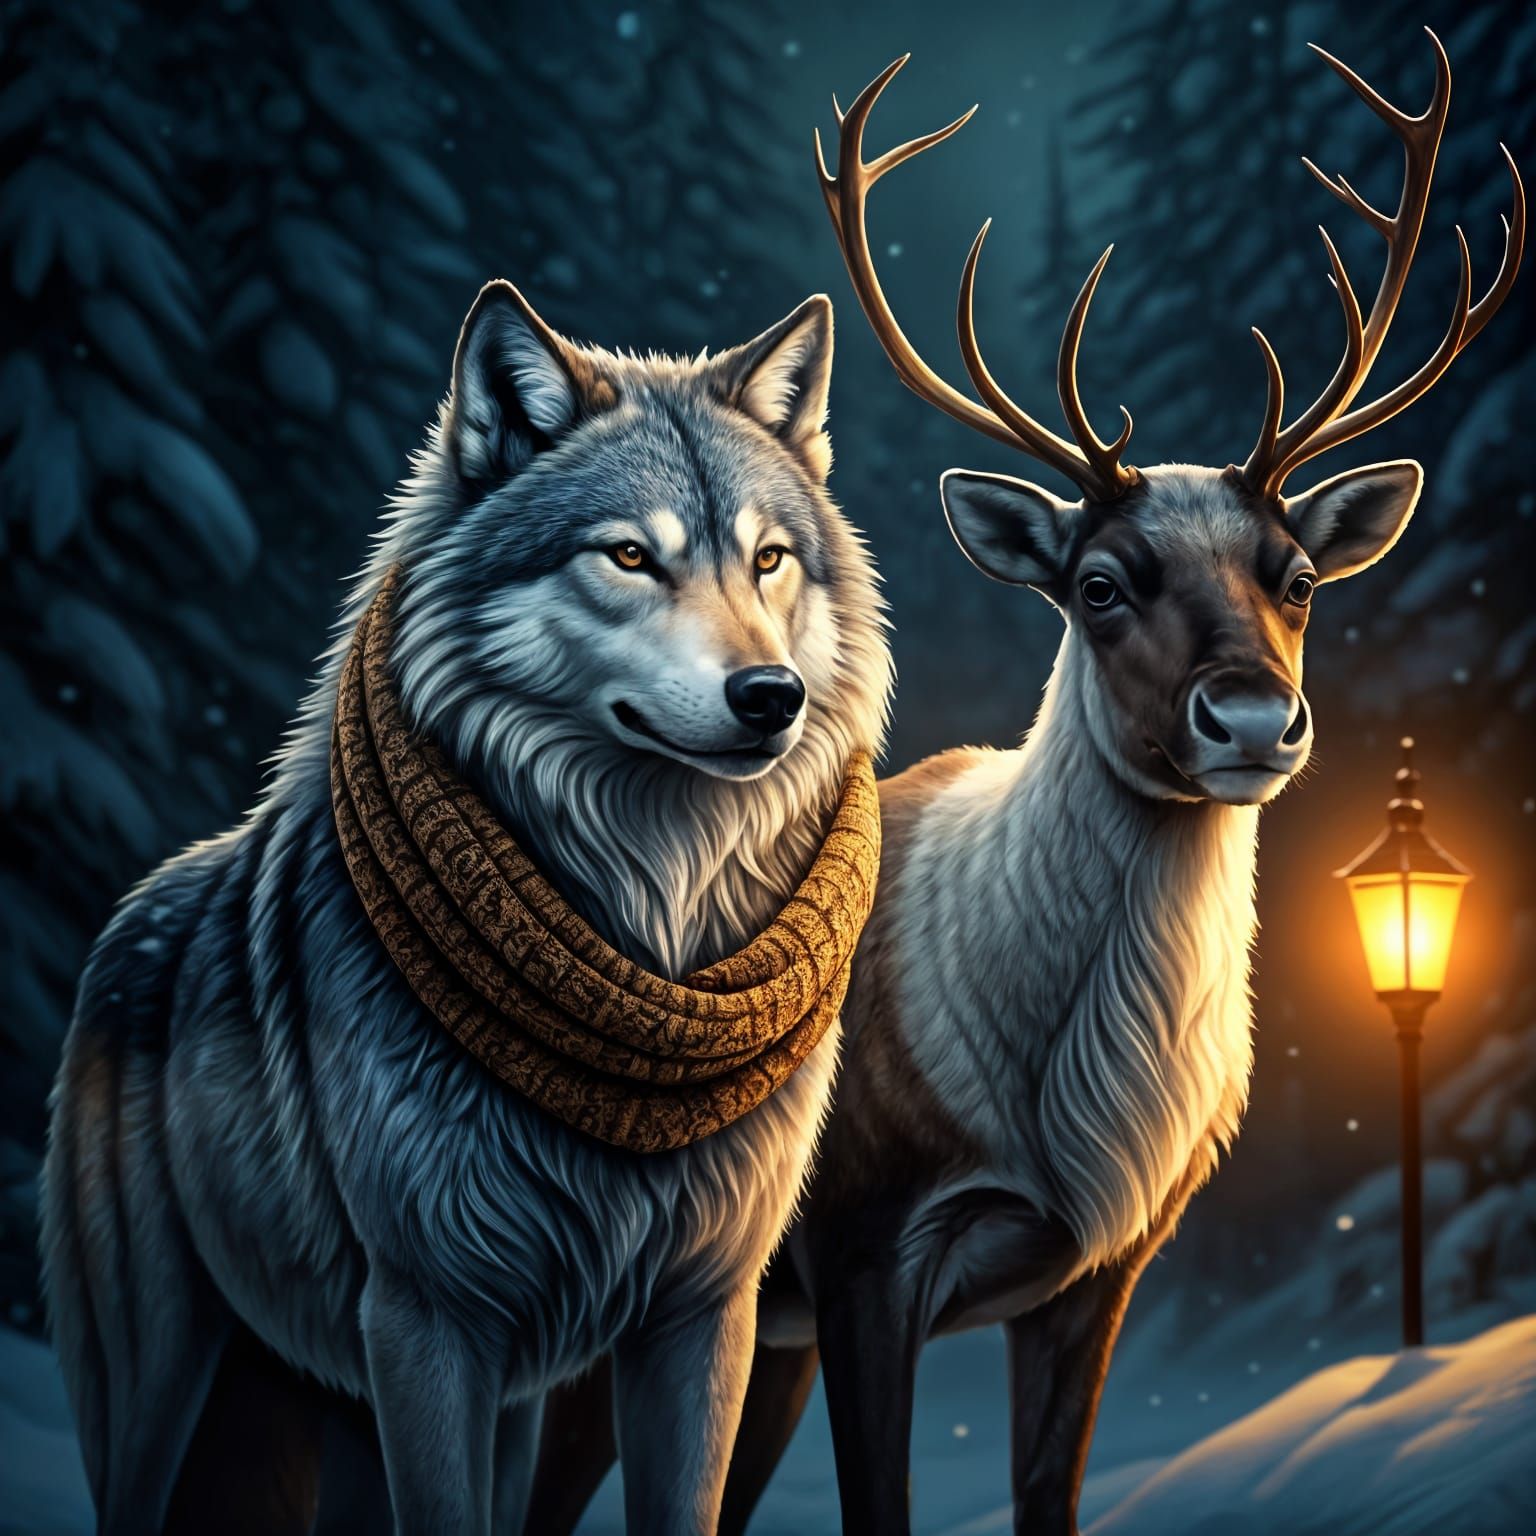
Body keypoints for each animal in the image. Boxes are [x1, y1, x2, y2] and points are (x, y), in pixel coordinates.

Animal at [41, 279, 890, 1535]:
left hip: (421, 1409)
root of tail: (135, 906)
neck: (645, 943)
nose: (769, 696)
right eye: (629, 555)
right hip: (162, 1395)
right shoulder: (428, 1317)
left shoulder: (702, 1312)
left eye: (771, 559)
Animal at [521, 32, 1523, 1536]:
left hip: (765, 1337)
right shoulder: (866, 1241)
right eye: (1100, 584)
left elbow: (1050, 1496)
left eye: (1296, 579)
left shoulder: (1098, 1269)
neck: (1065, 1117)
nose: (1251, 717)